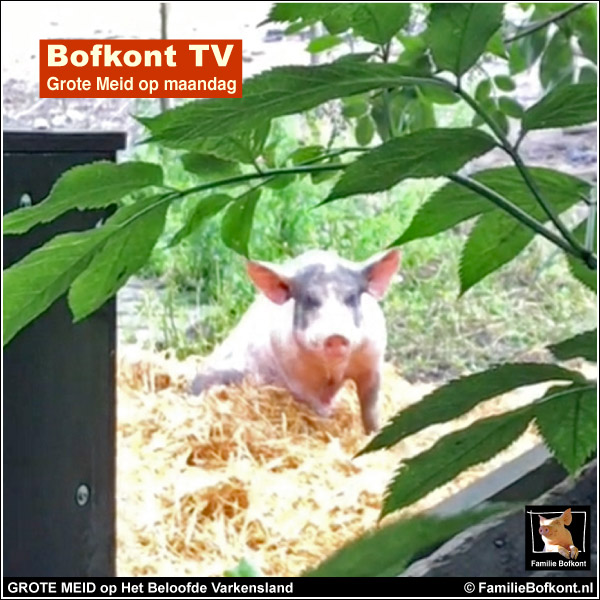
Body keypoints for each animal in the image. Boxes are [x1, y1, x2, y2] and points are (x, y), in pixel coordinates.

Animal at [190, 246, 400, 434]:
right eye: (309, 299)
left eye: (350, 297)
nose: (335, 336)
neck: (334, 372)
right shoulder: (296, 377)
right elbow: (318, 408)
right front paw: (328, 421)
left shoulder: (373, 364)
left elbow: (371, 409)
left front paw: (373, 433)